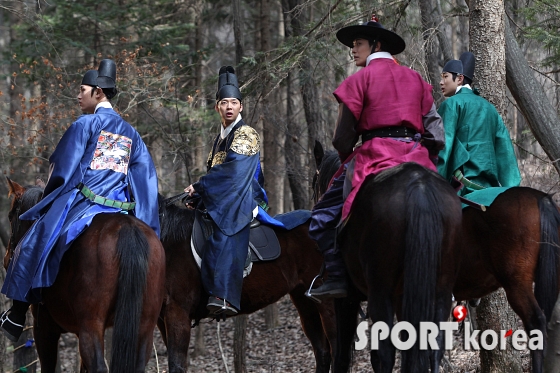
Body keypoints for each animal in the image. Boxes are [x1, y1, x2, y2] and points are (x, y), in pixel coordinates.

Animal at [4, 179, 166, 370]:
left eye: (10, 216)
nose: (6, 259)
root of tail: (127, 228)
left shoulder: (44, 328)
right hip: (144, 326)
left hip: (91, 325)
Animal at [155, 196, 334, 370]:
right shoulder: (163, 318)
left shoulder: (178, 312)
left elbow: (176, 364)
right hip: (303, 299)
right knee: (322, 352)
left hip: (325, 299)